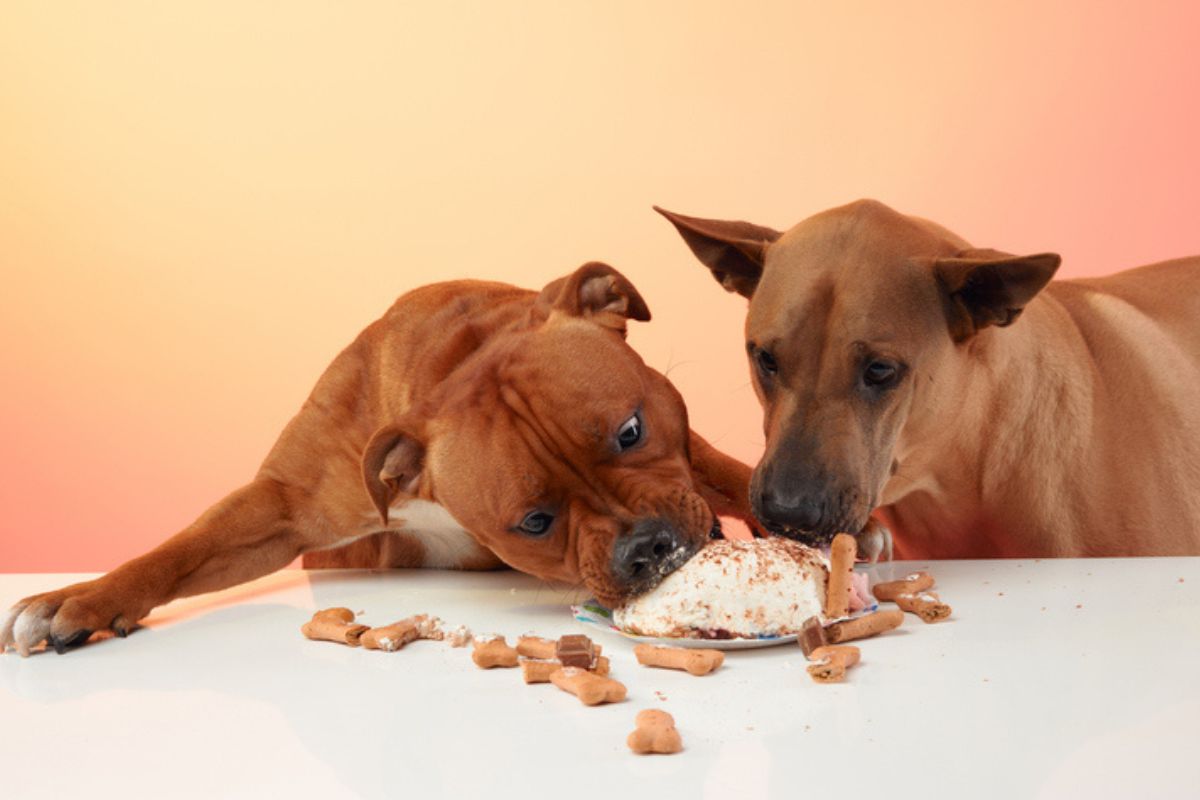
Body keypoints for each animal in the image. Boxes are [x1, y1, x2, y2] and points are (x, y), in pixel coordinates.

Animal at [2, 262, 758, 657]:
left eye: (631, 430)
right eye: (535, 523)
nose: (647, 545)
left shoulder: (690, 448)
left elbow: (737, 478)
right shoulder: (282, 505)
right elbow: (178, 552)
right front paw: (79, 597)